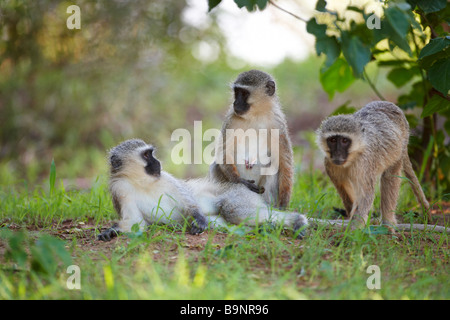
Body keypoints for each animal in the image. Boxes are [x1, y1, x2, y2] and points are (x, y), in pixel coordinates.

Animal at [98, 139, 310, 241]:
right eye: (146, 155)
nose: (157, 162)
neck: (142, 181)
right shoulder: (121, 188)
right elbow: (136, 222)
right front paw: (112, 231)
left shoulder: (166, 179)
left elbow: (189, 202)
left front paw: (198, 218)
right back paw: (267, 227)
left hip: (241, 195)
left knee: (233, 209)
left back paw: (297, 221)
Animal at [209, 69, 294, 210]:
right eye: (236, 92)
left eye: (244, 93)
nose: (235, 103)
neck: (256, 115)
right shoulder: (231, 119)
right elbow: (224, 152)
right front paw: (239, 181)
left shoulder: (278, 123)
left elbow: (284, 162)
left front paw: (283, 204)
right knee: (216, 165)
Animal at [314, 101, 438, 231]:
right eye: (333, 140)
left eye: (344, 140)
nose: (337, 154)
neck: (353, 156)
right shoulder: (329, 163)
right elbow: (342, 187)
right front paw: (353, 218)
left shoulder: (365, 163)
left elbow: (366, 194)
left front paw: (354, 228)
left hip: (399, 149)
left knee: (390, 176)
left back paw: (387, 224)